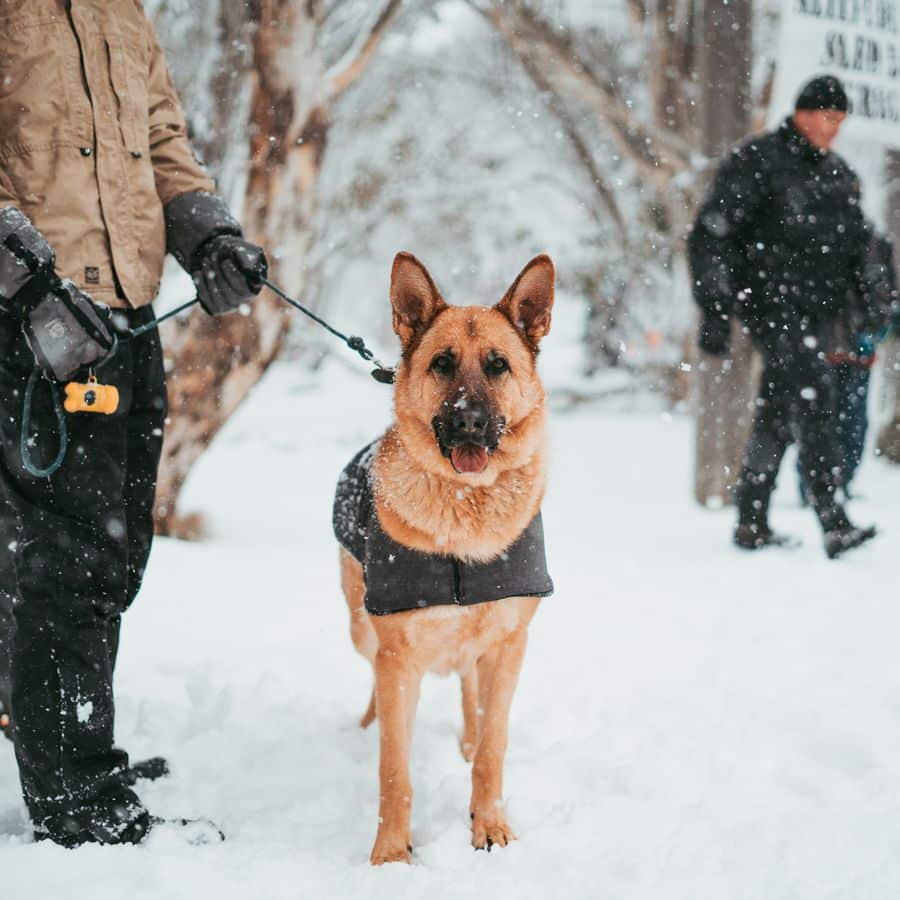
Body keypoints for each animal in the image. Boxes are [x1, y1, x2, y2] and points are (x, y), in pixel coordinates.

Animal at [334, 250, 552, 860]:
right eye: (442, 364)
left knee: (470, 693)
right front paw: (390, 853)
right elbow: (394, 770)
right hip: (361, 627)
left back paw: (467, 740)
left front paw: (489, 824)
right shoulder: (397, 657)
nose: (469, 421)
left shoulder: (508, 644)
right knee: (374, 683)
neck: (464, 508)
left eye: (498, 366)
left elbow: (494, 748)